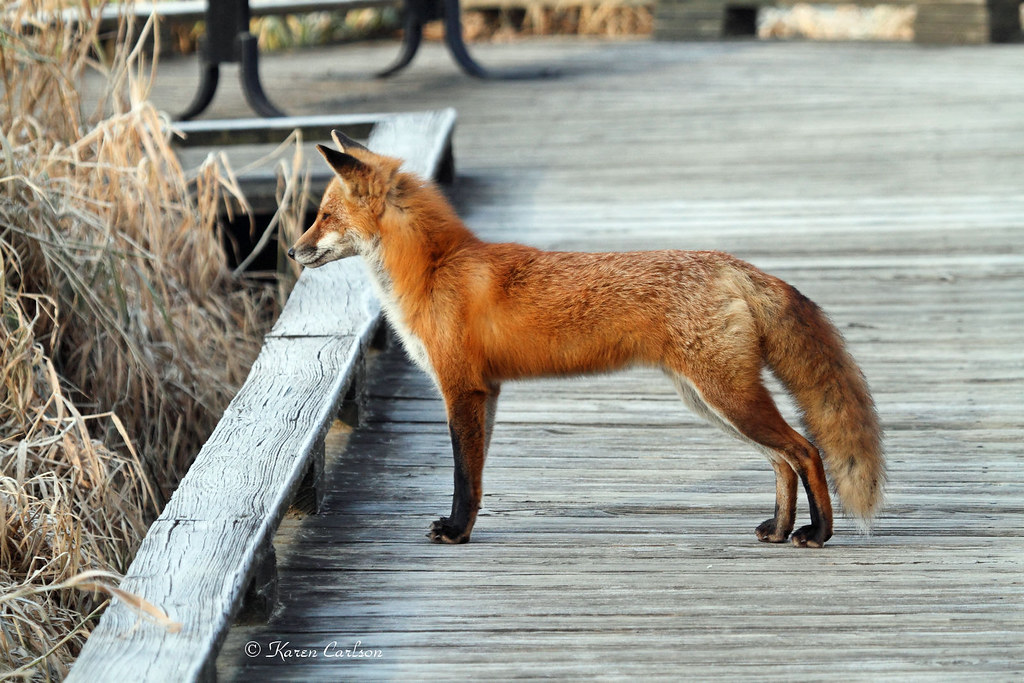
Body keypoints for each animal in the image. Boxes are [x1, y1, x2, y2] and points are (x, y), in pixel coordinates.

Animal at [288, 131, 885, 548]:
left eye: (323, 217)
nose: (292, 252)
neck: (436, 268)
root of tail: (732, 265)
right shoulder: (488, 392)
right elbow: (476, 479)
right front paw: (467, 529)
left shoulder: (462, 388)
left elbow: (462, 476)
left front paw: (455, 533)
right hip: (711, 401)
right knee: (781, 460)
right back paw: (780, 529)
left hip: (727, 398)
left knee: (806, 451)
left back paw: (817, 534)